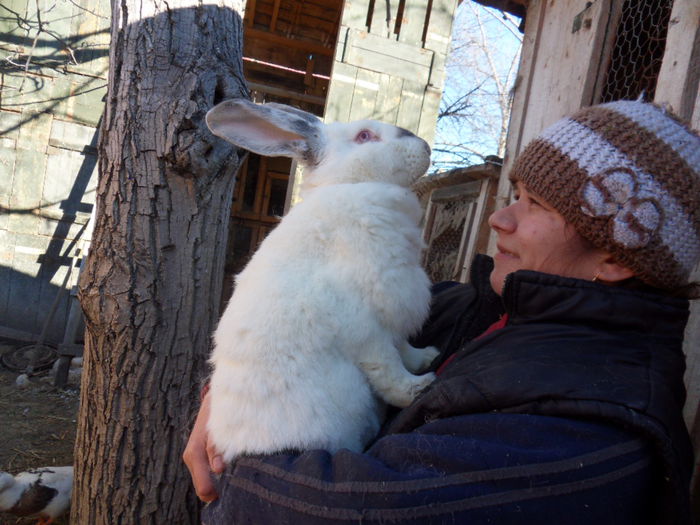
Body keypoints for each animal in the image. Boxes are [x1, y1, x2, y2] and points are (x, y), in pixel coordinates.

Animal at [204, 98, 438, 458]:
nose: (426, 147)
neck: (351, 185)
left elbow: (405, 349)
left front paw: (428, 356)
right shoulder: (366, 327)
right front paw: (420, 387)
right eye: (365, 135)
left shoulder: (393, 317)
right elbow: (388, 368)